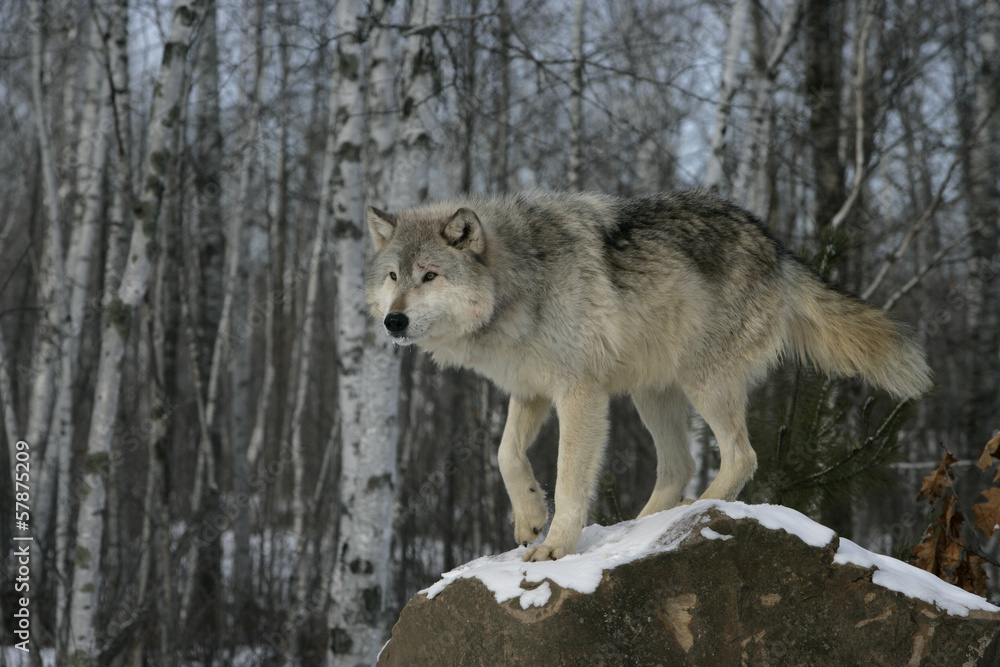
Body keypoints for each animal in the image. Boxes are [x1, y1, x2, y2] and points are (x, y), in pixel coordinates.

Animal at [364, 189, 932, 562]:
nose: (393, 321)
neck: (520, 282)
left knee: (740, 456)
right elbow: (505, 454)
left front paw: (555, 546)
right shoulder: (531, 390)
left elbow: (569, 477)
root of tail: (777, 247)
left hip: (703, 384)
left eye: (429, 276)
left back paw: (696, 510)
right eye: (393, 276)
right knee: (679, 465)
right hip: (651, 394)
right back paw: (642, 526)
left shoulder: (580, 393)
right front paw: (529, 516)